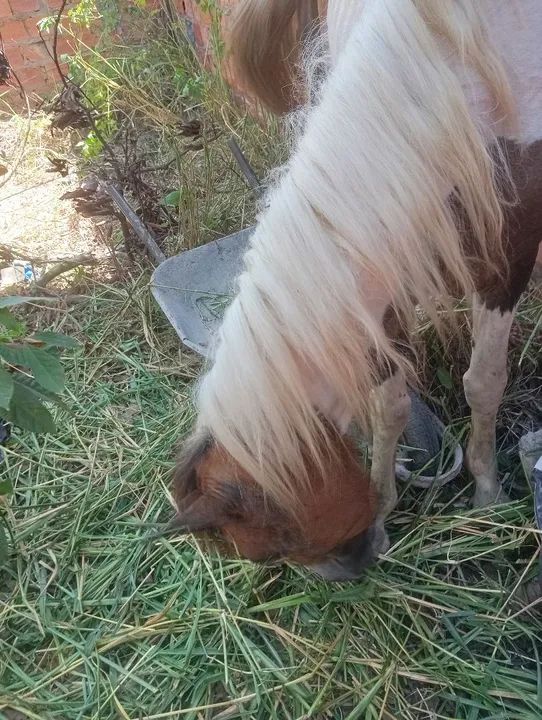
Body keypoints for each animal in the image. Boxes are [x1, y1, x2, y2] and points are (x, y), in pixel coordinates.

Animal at [171, 0, 542, 581]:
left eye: (273, 545)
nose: (348, 572)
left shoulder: (510, 254)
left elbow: (483, 382)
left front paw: (487, 493)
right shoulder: (379, 269)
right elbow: (388, 404)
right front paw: (387, 506)